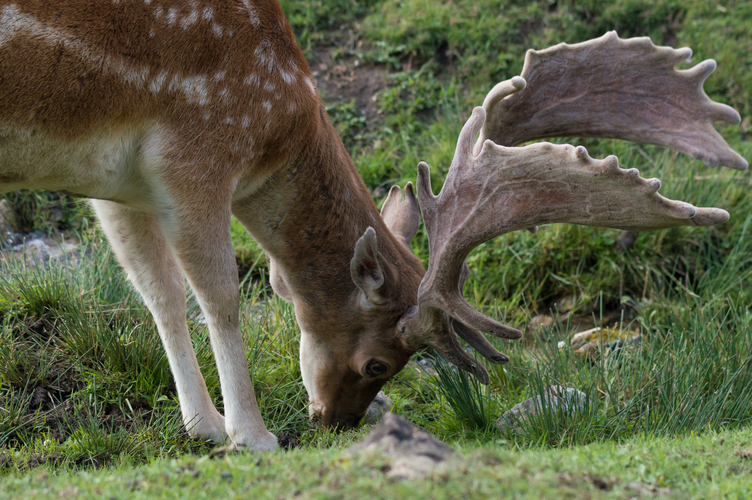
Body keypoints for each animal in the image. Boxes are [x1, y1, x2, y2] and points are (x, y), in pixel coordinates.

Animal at [0, 0, 748, 452]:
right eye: (379, 362)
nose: (336, 422)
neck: (280, 129)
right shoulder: (198, 148)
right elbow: (221, 296)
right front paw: (252, 435)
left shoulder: (115, 186)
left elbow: (158, 295)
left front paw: (204, 428)